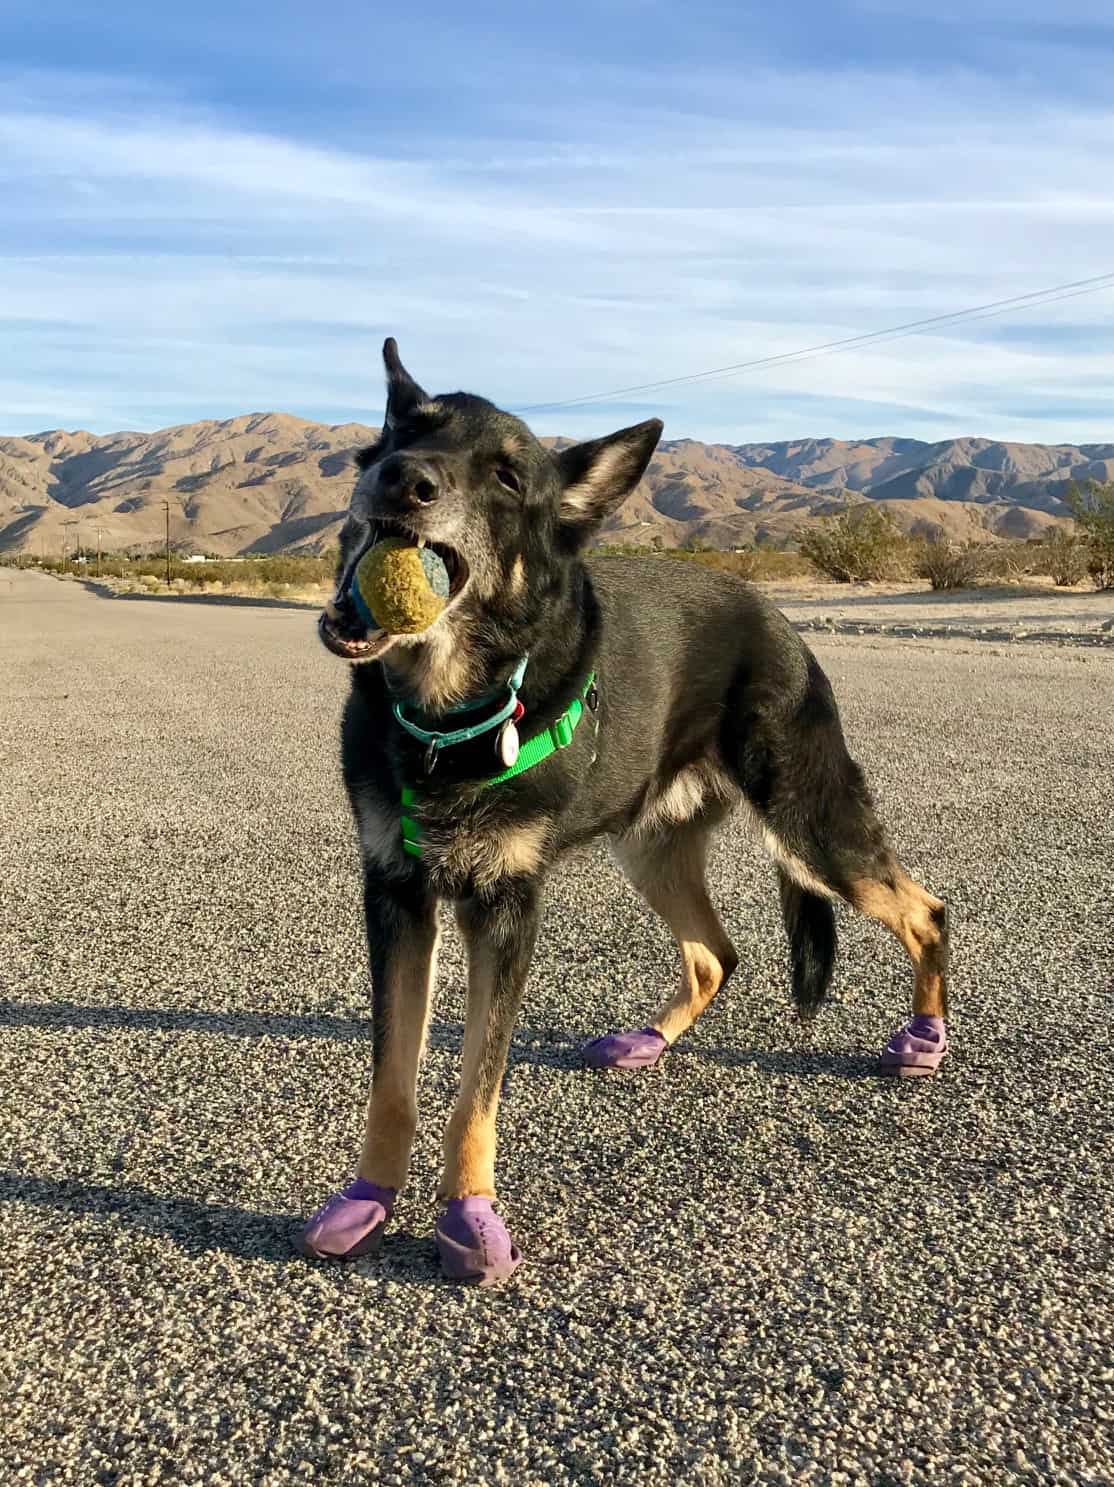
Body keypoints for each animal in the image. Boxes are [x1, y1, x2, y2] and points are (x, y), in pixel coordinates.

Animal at [300, 334, 951, 1278]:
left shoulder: (506, 908)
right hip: (651, 846)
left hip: (813, 820)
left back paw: (925, 1039)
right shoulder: (396, 895)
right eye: (407, 431)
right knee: (716, 954)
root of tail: (778, 618)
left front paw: (468, 1211)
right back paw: (649, 1040)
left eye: (506, 476)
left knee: (925, 909)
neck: (444, 718)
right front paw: (369, 1197)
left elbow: (475, 1089)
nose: (402, 479)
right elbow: (393, 1080)